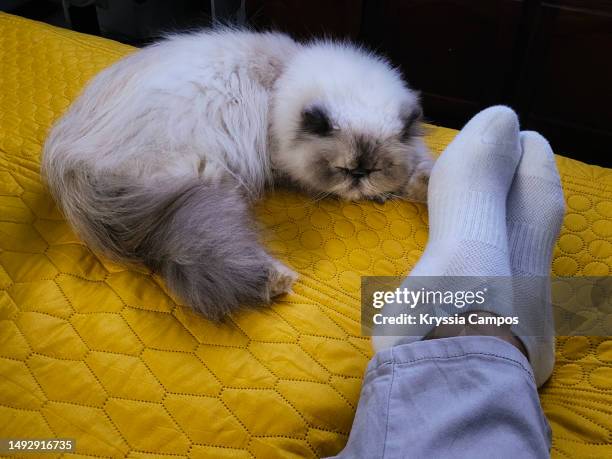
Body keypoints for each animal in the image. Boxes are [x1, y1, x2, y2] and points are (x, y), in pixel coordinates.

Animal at [41, 27, 430, 322]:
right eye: (342, 169)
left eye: (376, 169)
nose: (359, 178)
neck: (281, 81)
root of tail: (70, 162)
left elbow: (423, 168)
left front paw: (416, 187)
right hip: (203, 180)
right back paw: (275, 281)